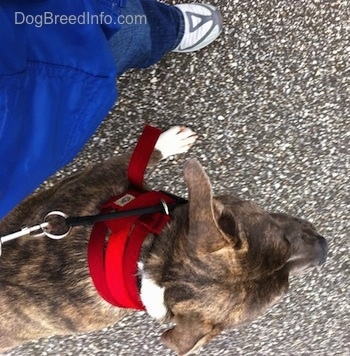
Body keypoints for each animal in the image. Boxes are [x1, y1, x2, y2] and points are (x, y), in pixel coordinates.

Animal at [0, 125, 328, 354]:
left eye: (284, 241)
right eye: (283, 293)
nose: (324, 249)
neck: (146, 257)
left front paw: (167, 141)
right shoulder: (103, 174)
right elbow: (135, 158)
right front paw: (165, 142)